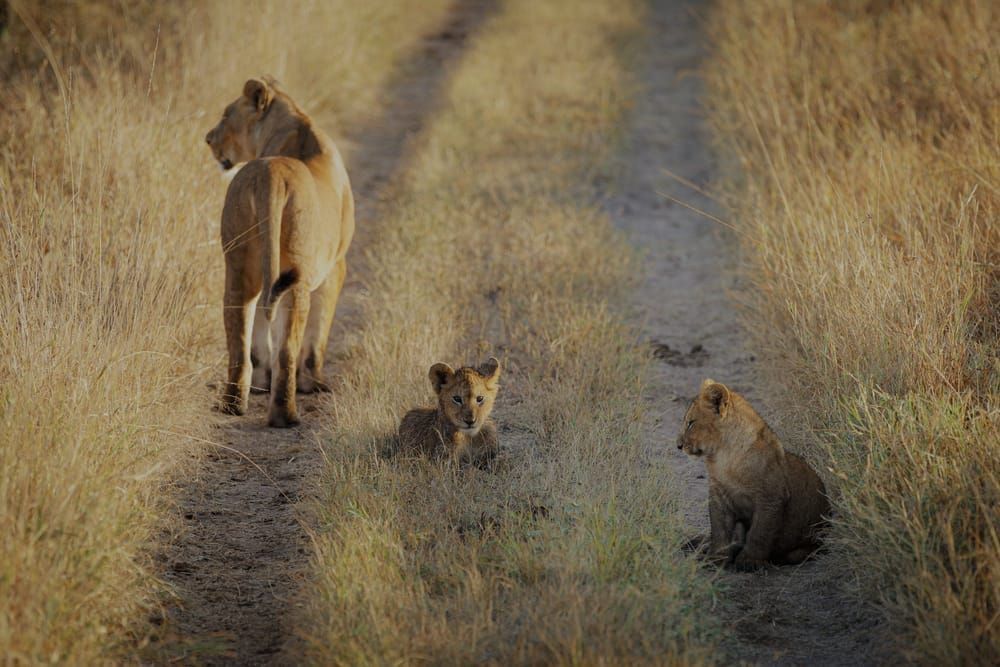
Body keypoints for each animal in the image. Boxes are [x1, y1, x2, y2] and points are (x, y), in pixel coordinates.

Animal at [205, 78, 354, 427]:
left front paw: (262, 382)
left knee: (239, 343)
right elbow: (317, 334)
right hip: (297, 276)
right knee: (287, 349)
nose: (208, 139)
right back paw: (285, 416)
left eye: (226, 115)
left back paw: (233, 404)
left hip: (239, 267)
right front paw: (314, 384)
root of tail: (269, 174)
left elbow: (260, 333)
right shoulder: (335, 267)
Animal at [677, 379, 830, 570]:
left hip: (806, 545)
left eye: (691, 423)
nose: (678, 445)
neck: (724, 457)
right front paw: (715, 558)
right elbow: (719, 531)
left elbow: (759, 532)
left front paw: (749, 561)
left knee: (794, 554)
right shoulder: (718, 496)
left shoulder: (771, 497)